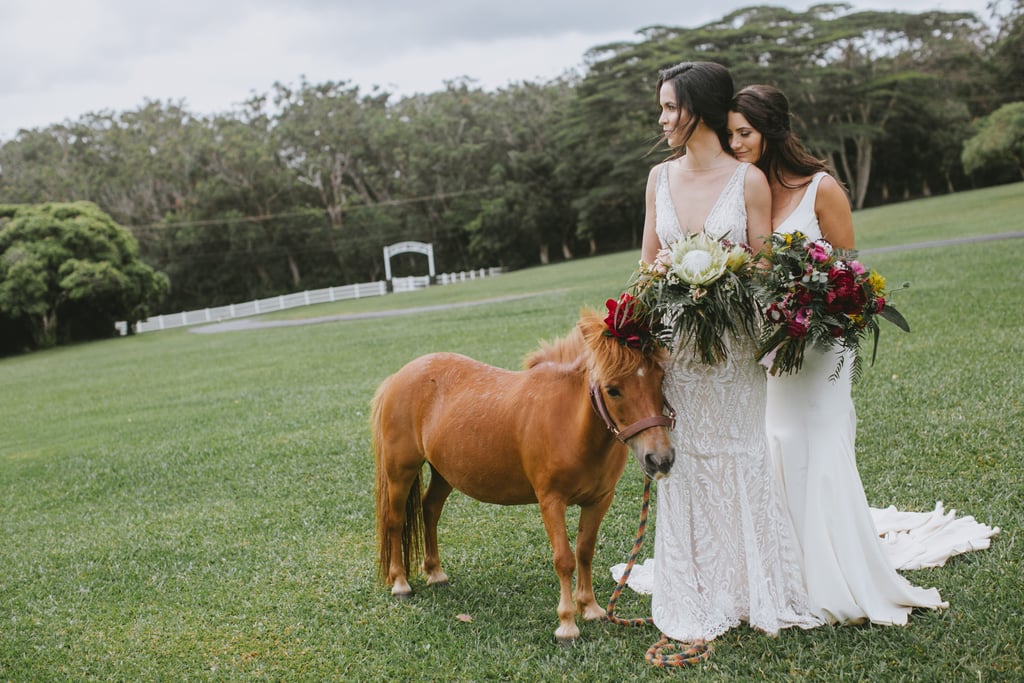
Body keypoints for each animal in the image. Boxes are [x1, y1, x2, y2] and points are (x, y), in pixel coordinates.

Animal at [372, 307, 675, 643]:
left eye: (661, 379)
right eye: (613, 389)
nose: (660, 458)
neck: (570, 422)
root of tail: (397, 377)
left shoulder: (599, 501)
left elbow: (584, 552)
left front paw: (591, 609)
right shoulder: (551, 501)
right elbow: (564, 559)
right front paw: (567, 624)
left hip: (442, 474)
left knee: (430, 510)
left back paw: (435, 573)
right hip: (401, 470)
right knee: (395, 520)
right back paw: (400, 583)